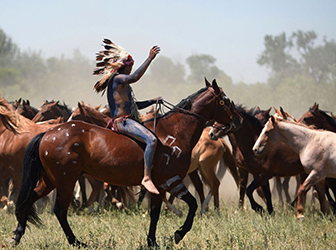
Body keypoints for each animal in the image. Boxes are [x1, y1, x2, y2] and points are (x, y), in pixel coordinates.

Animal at [12, 79, 242, 247]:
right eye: (225, 100)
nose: (238, 119)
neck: (175, 132)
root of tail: (47, 133)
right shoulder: (171, 180)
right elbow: (191, 205)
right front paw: (178, 234)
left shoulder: (160, 185)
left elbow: (155, 213)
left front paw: (152, 242)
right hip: (65, 181)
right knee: (59, 210)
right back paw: (76, 242)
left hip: (51, 180)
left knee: (29, 199)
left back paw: (17, 235)